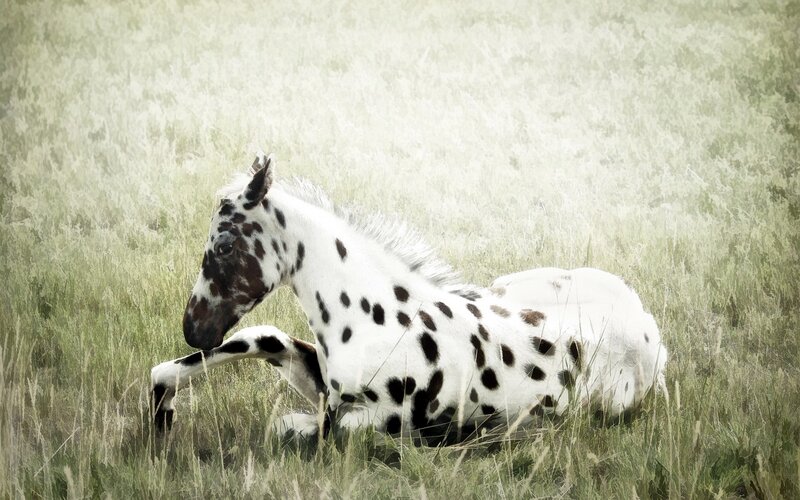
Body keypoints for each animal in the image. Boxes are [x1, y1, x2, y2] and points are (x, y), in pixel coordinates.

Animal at [151, 153, 668, 444]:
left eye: (224, 246)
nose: (194, 328)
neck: (377, 320)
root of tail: (653, 337)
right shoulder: (321, 382)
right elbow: (264, 338)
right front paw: (161, 415)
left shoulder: (384, 419)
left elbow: (302, 426)